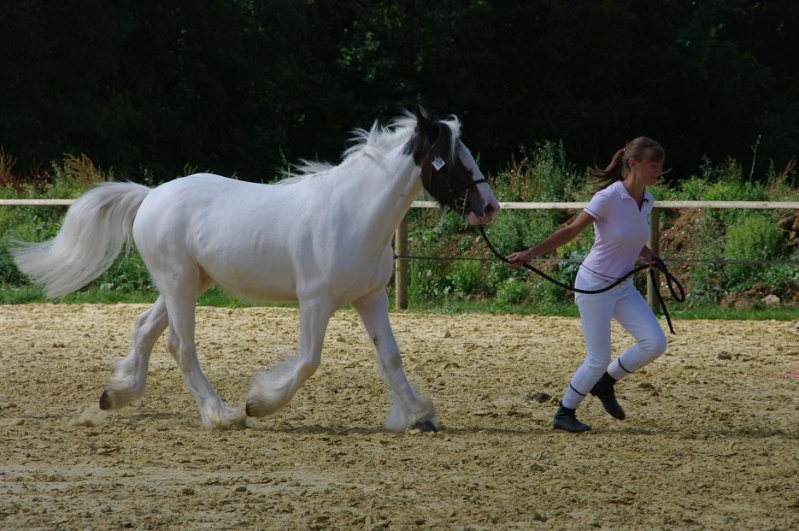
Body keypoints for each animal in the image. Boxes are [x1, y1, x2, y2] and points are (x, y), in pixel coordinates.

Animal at [14, 108, 500, 432]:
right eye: (452, 158)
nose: (489, 207)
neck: (353, 213)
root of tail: (150, 196)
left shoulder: (370, 297)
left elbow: (390, 357)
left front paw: (418, 415)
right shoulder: (316, 300)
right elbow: (307, 362)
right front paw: (258, 404)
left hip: (188, 282)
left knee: (144, 328)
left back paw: (116, 395)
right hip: (179, 282)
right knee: (179, 345)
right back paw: (221, 415)